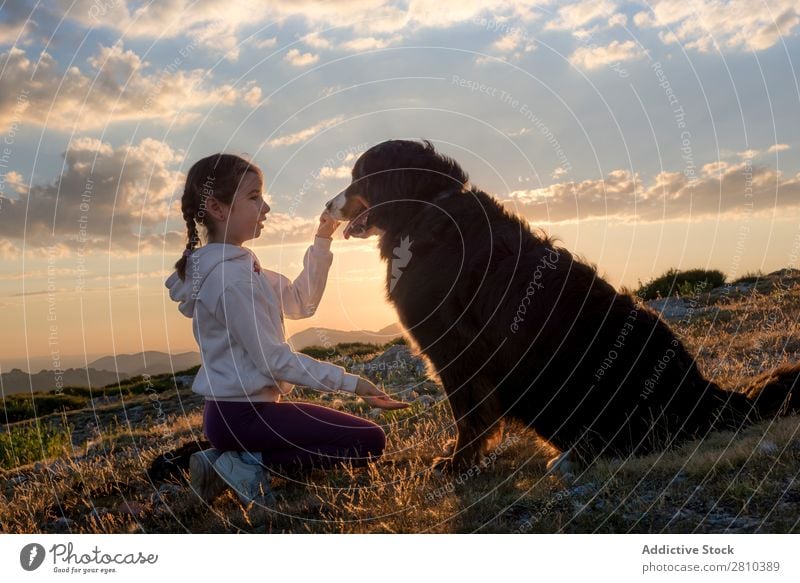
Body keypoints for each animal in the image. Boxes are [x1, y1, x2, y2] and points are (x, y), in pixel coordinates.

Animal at [326, 143, 800, 474]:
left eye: (358, 178)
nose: (327, 206)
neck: (423, 210)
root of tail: (703, 391)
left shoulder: (456, 351)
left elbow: (469, 416)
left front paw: (458, 464)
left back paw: (573, 456)